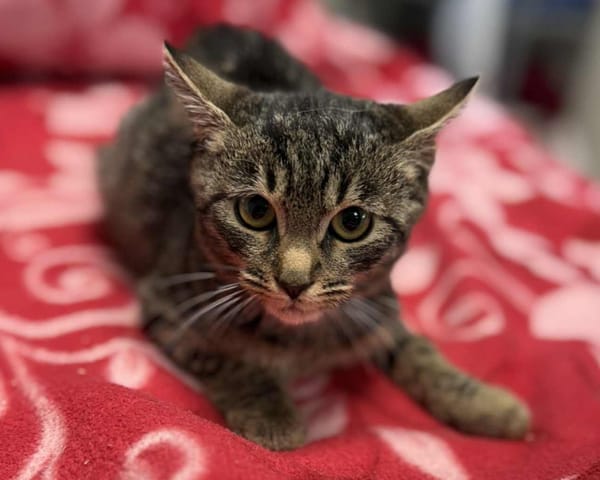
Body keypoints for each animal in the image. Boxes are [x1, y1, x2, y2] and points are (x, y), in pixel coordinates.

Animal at [98, 24, 531, 450]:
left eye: (353, 222)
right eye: (255, 211)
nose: (294, 282)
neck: (299, 340)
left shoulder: (378, 308)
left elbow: (416, 348)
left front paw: (484, 403)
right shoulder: (168, 308)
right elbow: (229, 360)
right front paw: (271, 414)